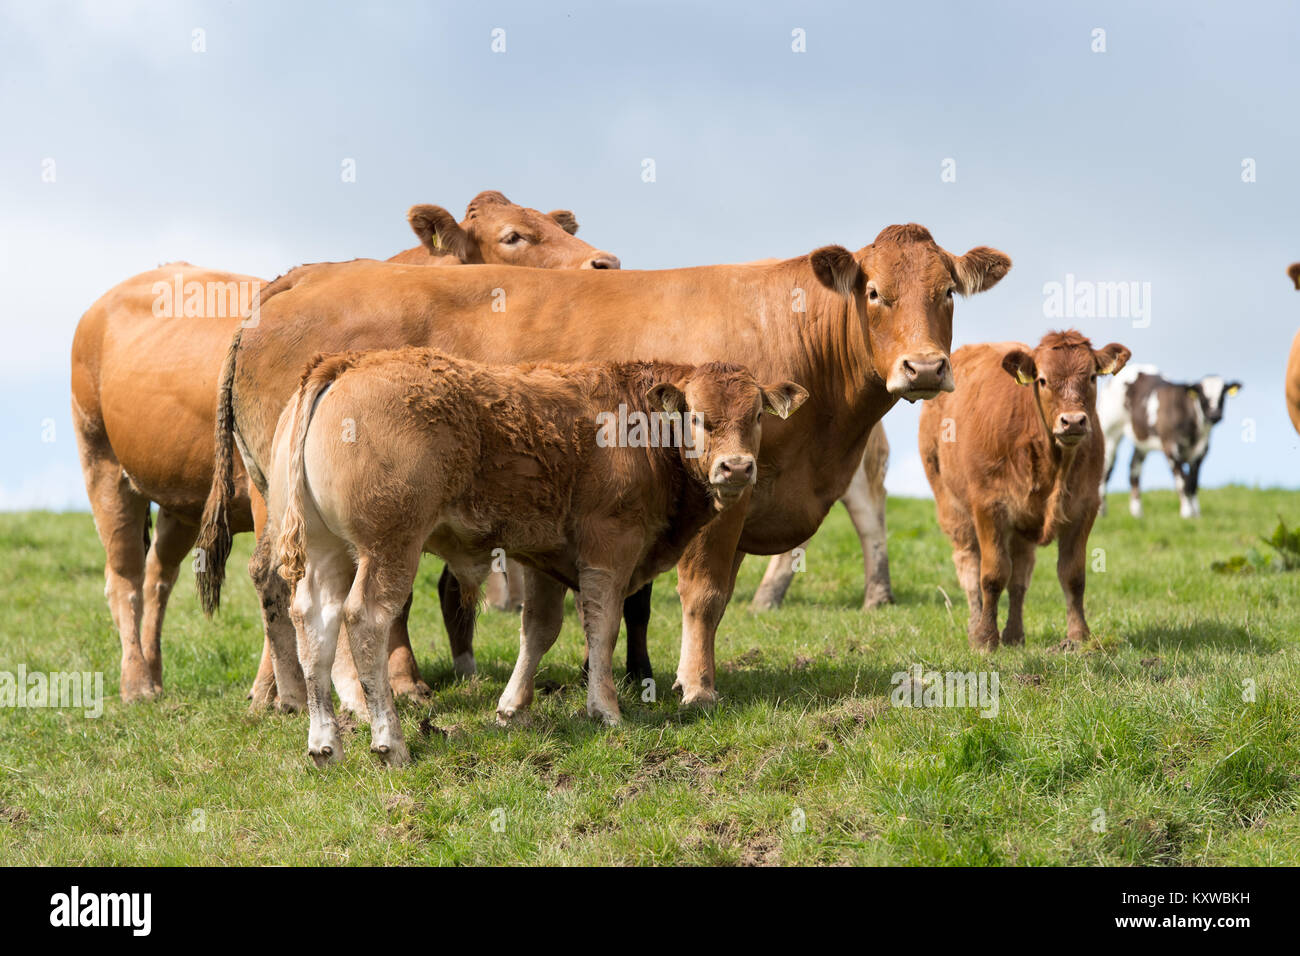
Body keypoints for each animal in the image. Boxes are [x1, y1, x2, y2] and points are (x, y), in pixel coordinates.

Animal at [70, 191, 616, 704]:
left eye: (559, 226)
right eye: (513, 237)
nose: (606, 264)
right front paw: (388, 683)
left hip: (179, 505)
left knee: (158, 576)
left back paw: (157, 672)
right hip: (104, 464)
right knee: (125, 579)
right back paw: (138, 683)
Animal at [269, 347, 806, 764]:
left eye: (757, 415)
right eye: (697, 416)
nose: (736, 467)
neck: (640, 426)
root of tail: (346, 362)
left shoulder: (546, 556)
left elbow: (539, 630)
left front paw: (513, 708)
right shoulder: (609, 546)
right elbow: (602, 626)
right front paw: (605, 709)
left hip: (329, 552)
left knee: (313, 625)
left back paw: (325, 744)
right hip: (389, 547)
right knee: (366, 620)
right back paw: (390, 741)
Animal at [920, 330, 1130, 650]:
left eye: (1093, 377)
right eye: (1042, 379)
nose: (1073, 421)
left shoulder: (1085, 507)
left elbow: (1072, 575)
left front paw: (1078, 636)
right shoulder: (988, 505)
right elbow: (992, 575)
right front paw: (985, 639)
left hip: (1022, 524)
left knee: (1020, 575)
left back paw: (1015, 634)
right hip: (952, 507)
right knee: (969, 567)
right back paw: (975, 626)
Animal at [1097, 365, 1241, 519]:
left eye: (1223, 394)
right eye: (1202, 395)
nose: (1215, 415)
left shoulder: (1201, 452)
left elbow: (1193, 483)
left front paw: (1196, 513)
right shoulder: (1170, 448)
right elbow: (1182, 481)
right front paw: (1186, 513)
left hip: (1142, 441)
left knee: (1134, 469)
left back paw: (1137, 513)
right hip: (1110, 433)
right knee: (1105, 470)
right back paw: (1102, 511)